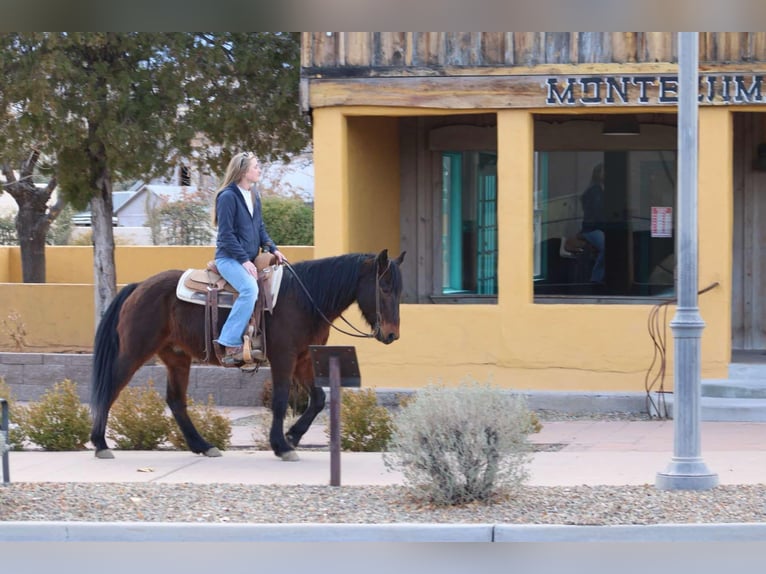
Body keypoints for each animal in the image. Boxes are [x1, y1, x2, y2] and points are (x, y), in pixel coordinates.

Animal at [90, 250, 408, 462]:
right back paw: (100, 443)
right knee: (110, 387)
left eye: (399, 289)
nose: (392, 334)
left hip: (177, 358)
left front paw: (292, 436)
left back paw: (203, 445)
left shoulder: (303, 359)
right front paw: (281, 445)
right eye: (384, 287)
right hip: (134, 351)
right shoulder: (284, 358)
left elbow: (318, 399)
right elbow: (280, 400)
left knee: (176, 402)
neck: (303, 299)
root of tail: (138, 287)